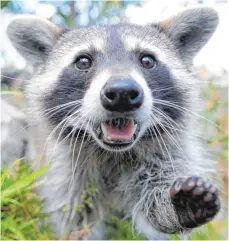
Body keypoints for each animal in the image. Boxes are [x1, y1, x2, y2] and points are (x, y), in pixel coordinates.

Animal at [8, 7, 221, 239]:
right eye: (83, 62)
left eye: (147, 60)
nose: (122, 93)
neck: (114, 154)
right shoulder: (64, 169)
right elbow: (75, 219)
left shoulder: (165, 153)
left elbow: (155, 201)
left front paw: (178, 206)